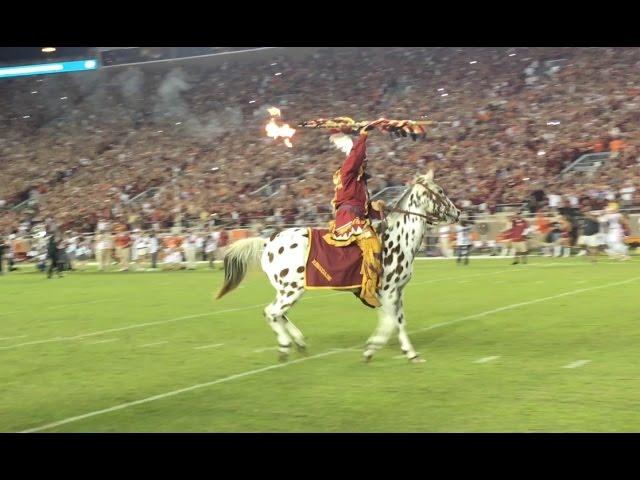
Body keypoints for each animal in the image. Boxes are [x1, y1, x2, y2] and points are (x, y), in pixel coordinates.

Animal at [216, 171, 460, 362]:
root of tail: (267, 242)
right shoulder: (389, 292)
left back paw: (300, 342)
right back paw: (285, 345)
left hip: (288, 290)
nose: (457, 213)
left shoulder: (394, 293)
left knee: (279, 315)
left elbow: (394, 321)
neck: (398, 240)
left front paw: (390, 350)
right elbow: (393, 323)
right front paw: (389, 351)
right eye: (440, 191)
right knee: (271, 312)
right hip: (291, 290)